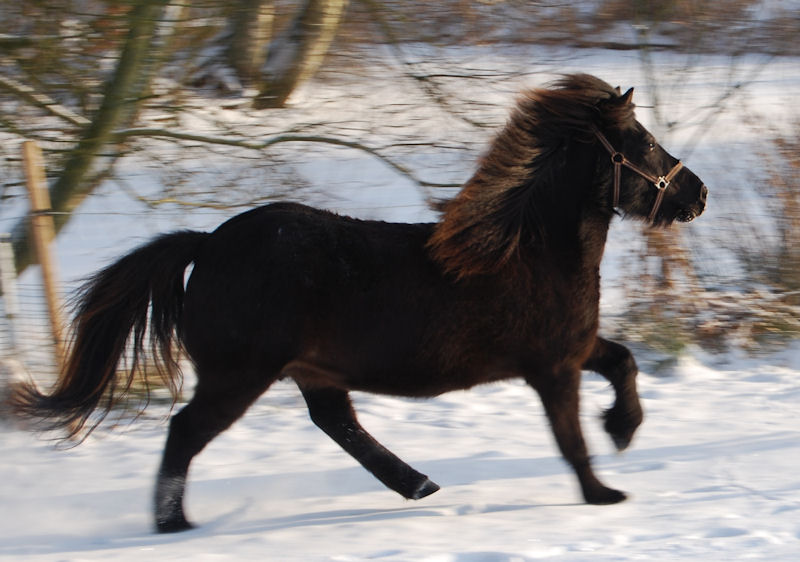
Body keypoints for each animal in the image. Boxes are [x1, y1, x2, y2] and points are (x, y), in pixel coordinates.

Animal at [12, 73, 708, 528]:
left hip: (312, 370)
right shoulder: (554, 366)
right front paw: (603, 492)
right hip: (241, 374)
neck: (529, 250)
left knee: (337, 423)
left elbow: (623, 362)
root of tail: (206, 244)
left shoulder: (572, 348)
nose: (697, 194)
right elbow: (570, 438)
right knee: (187, 431)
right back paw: (174, 524)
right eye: (643, 142)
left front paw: (624, 430)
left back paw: (418, 484)